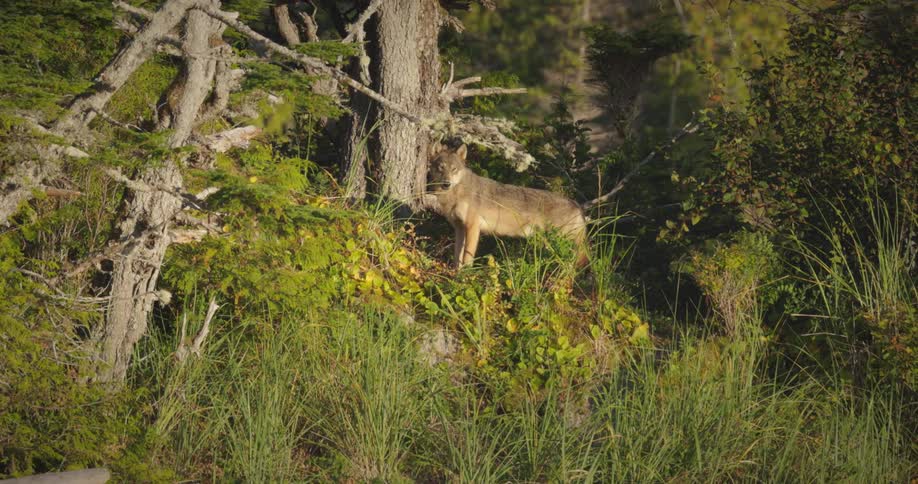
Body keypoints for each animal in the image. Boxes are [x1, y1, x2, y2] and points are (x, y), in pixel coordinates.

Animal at [426, 144, 588, 268]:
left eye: (454, 169)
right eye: (441, 168)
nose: (446, 184)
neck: (456, 193)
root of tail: (577, 206)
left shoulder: (473, 227)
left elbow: (467, 257)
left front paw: (465, 277)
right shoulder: (459, 228)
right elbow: (457, 257)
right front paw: (456, 273)